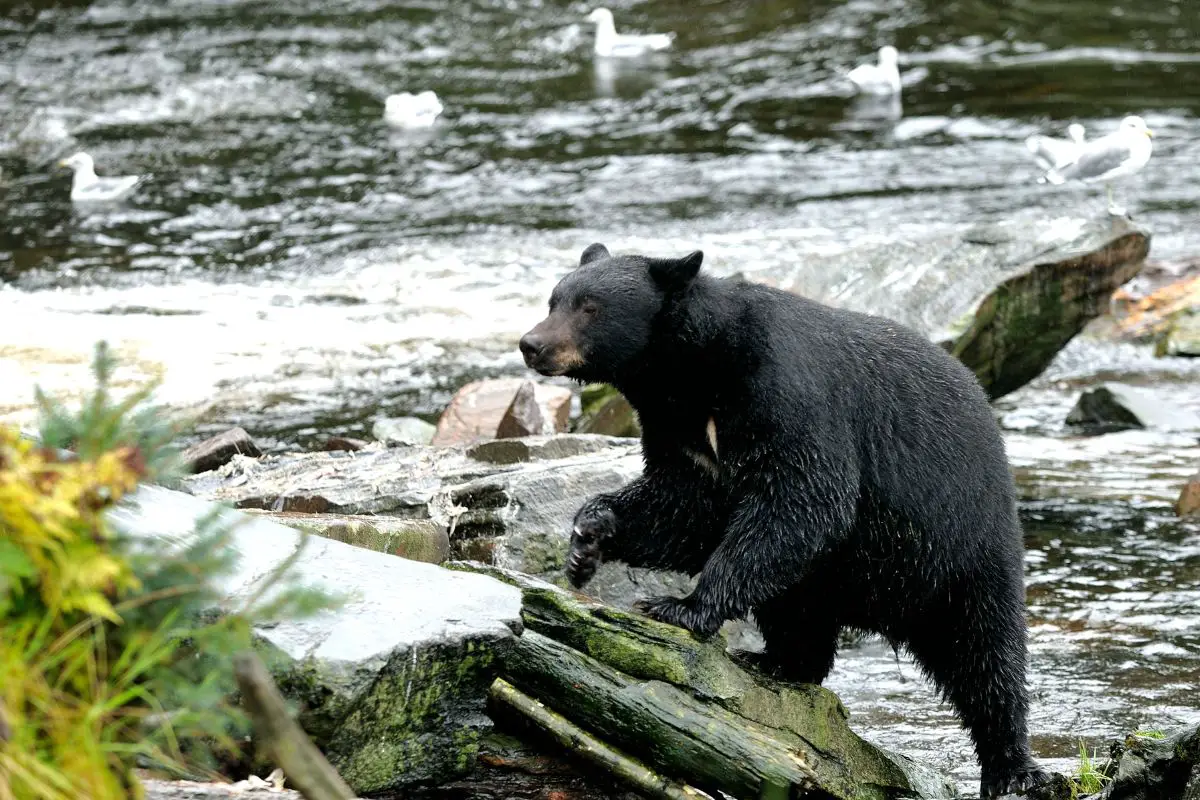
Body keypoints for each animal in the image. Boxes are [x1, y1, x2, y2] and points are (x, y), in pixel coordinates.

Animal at [520, 244, 1046, 800]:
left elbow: (802, 499)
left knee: (984, 652)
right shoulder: (682, 431)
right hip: (836, 579)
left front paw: (680, 606)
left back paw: (1012, 768)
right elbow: (682, 505)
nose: (531, 344)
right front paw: (588, 538)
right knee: (798, 613)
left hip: (961, 543)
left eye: (590, 307)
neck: (694, 373)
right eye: (554, 299)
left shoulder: (784, 394)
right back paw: (777, 662)